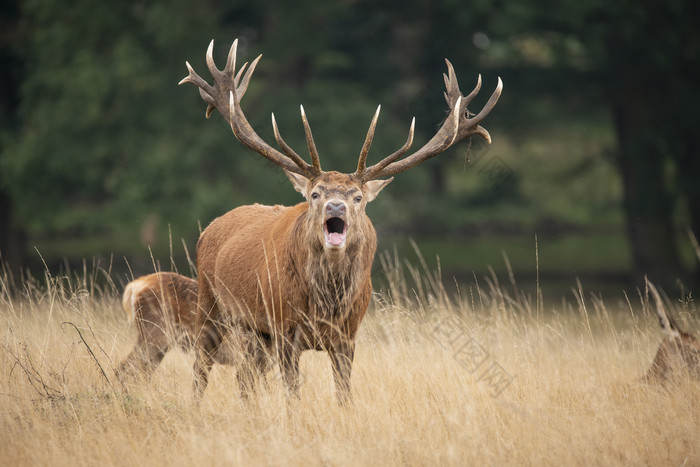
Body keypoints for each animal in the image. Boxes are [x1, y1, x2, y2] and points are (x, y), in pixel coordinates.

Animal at [178, 40, 500, 404]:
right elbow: (293, 395)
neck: (327, 305)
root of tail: (210, 228)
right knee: (201, 370)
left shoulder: (348, 336)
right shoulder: (285, 329)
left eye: (357, 197)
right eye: (315, 193)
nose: (336, 206)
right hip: (210, 306)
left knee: (245, 379)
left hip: (255, 332)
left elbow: (344, 394)